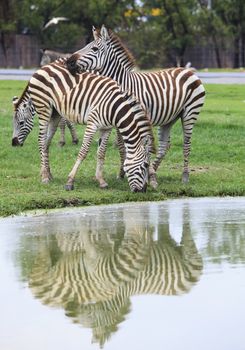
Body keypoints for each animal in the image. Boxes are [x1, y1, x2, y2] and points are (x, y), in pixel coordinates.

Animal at [11, 58, 154, 193]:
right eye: (145, 165)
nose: (142, 191)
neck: (115, 107)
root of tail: (42, 68)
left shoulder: (107, 128)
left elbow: (101, 152)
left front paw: (101, 181)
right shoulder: (92, 123)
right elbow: (83, 151)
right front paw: (70, 182)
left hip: (55, 113)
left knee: (46, 143)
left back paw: (47, 173)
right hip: (44, 109)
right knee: (41, 141)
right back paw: (45, 177)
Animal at [66, 25, 205, 186]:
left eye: (94, 48)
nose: (69, 62)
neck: (123, 84)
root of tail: (187, 70)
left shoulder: (137, 117)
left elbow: (142, 146)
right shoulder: (120, 118)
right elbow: (122, 147)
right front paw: (123, 173)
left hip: (190, 113)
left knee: (186, 143)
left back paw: (184, 176)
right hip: (169, 118)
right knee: (164, 146)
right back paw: (153, 171)